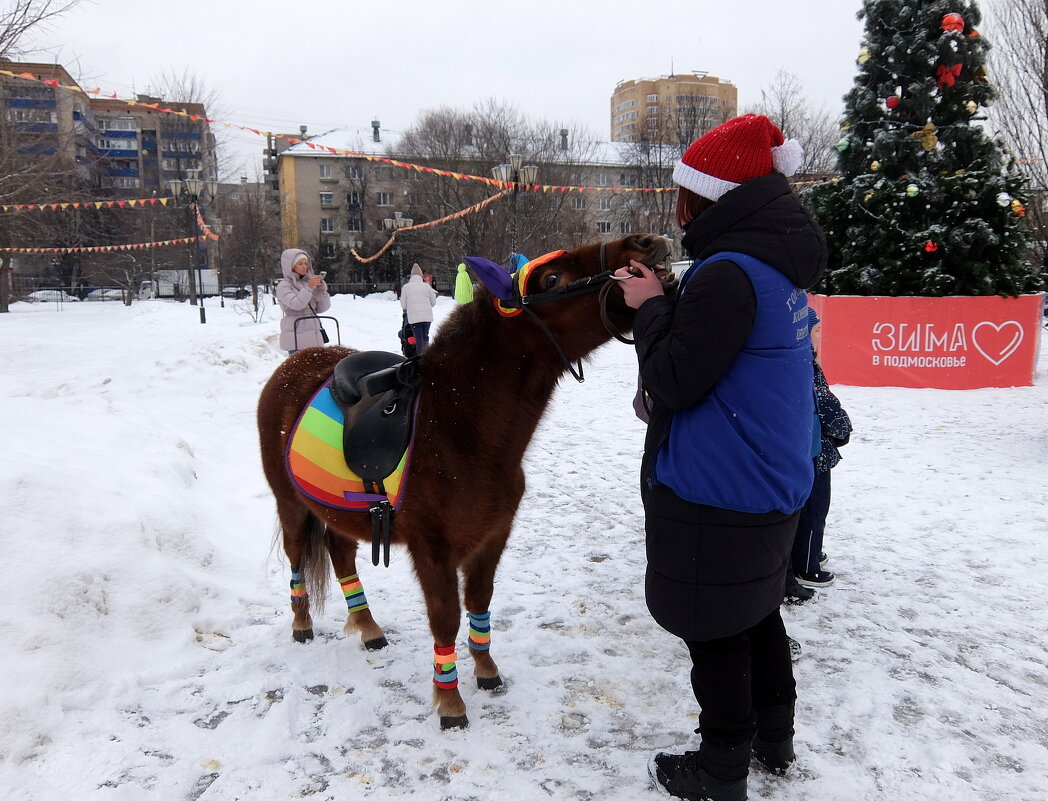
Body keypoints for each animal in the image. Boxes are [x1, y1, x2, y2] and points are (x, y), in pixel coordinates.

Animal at [257, 231, 674, 725]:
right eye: (553, 278)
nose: (645, 243)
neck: (458, 427)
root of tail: (295, 364)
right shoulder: (431, 550)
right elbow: (445, 619)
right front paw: (450, 701)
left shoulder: (492, 538)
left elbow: (478, 601)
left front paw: (486, 669)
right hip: (291, 505)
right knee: (297, 557)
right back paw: (302, 624)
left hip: (336, 511)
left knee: (341, 557)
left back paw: (368, 627)